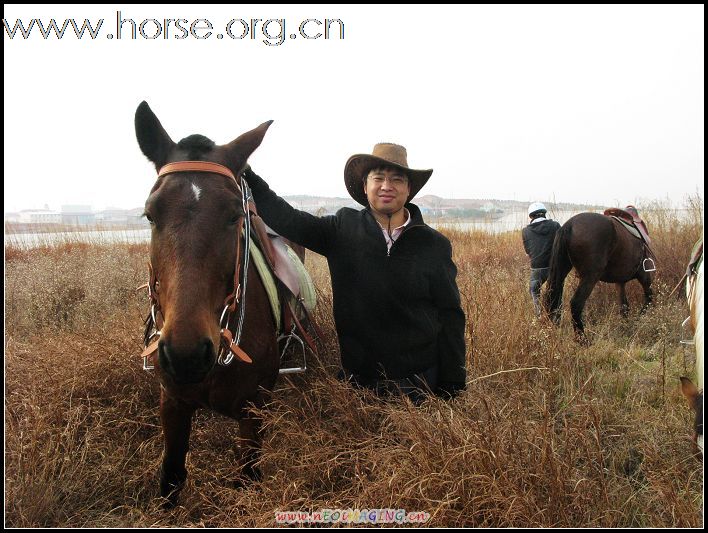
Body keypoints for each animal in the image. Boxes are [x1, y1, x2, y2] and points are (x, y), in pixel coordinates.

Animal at [134, 102, 278, 504]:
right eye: (150, 215)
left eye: (234, 216)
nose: (186, 354)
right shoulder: (172, 402)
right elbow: (171, 476)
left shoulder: (253, 410)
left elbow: (248, 477)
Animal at [544, 210, 656, 338]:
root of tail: (569, 225)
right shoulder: (644, 276)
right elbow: (648, 299)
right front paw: (636, 321)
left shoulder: (620, 282)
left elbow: (624, 306)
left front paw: (626, 326)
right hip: (590, 277)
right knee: (576, 304)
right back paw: (582, 339)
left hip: (562, 272)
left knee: (553, 300)